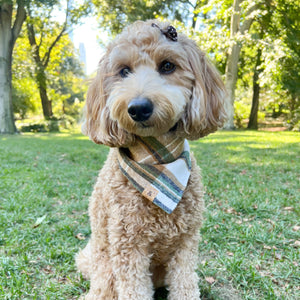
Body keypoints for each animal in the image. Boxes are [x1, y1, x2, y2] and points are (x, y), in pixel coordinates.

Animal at [75, 19, 227, 298]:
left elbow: (186, 284)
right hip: (105, 270)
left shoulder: (186, 242)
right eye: (124, 71)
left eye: (167, 66)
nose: (138, 108)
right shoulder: (128, 245)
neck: (157, 160)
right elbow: (134, 289)